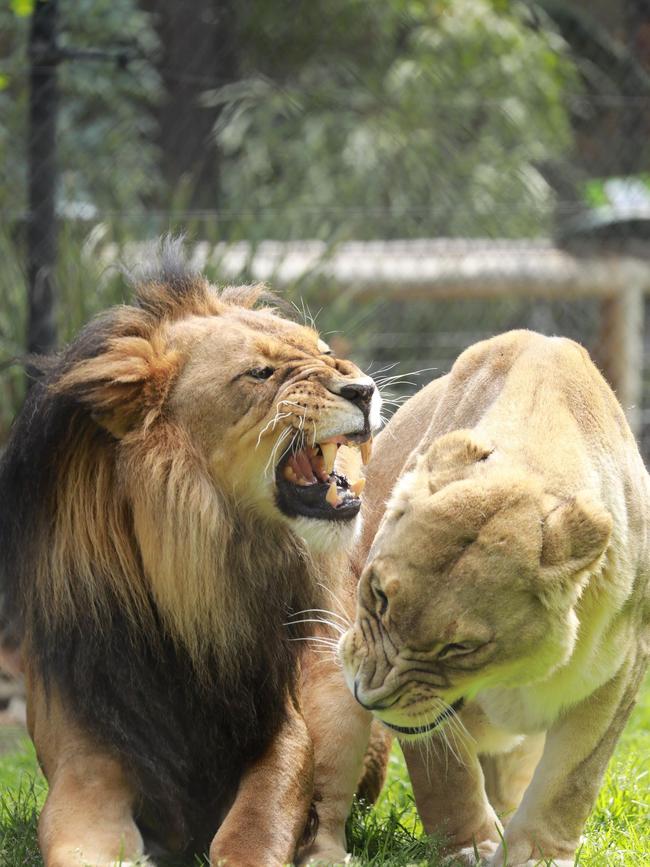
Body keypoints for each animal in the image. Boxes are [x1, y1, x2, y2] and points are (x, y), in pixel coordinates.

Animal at [0, 242, 380, 867]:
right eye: (261, 372)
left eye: (325, 353)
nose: (365, 389)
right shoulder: (86, 757)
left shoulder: (279, 730)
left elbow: (255, 828)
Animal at [340, 332, 648, 867]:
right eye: (378, 597)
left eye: (459, 648)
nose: (367, 696)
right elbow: (446, 772)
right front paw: (469, 848)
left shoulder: (620, 669)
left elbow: (572, 782)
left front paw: (536, 856)